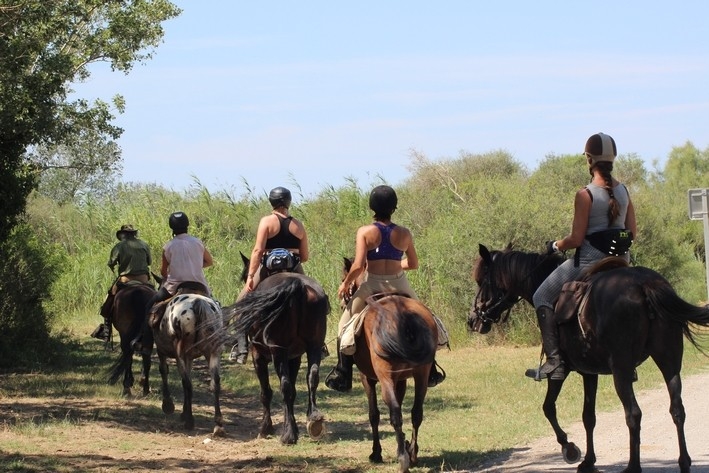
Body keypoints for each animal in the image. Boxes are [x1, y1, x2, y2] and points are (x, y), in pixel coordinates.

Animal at [338, 258, 434, 472]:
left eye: (344, 280)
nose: (342, 302)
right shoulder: (401, 379)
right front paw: (405, 443)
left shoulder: (368, 378)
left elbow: (373, 414)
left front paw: (376, 453)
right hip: (421, 375)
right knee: (416, 413)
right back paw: (412, 454)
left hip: (384, 378)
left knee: (395, 413)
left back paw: (403, 458)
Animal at [464, 243, 708, 472]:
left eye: (480, 281)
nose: (472, 320)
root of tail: (644, 284)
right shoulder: (590, 373)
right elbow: (588, 417)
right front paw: (589, 461)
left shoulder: (560, 371)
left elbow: (548, 407)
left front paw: (569, 448)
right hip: (669, 362)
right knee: (677, 409)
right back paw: (684, 462)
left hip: (622, 371)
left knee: (634, 414)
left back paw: (633, 466)